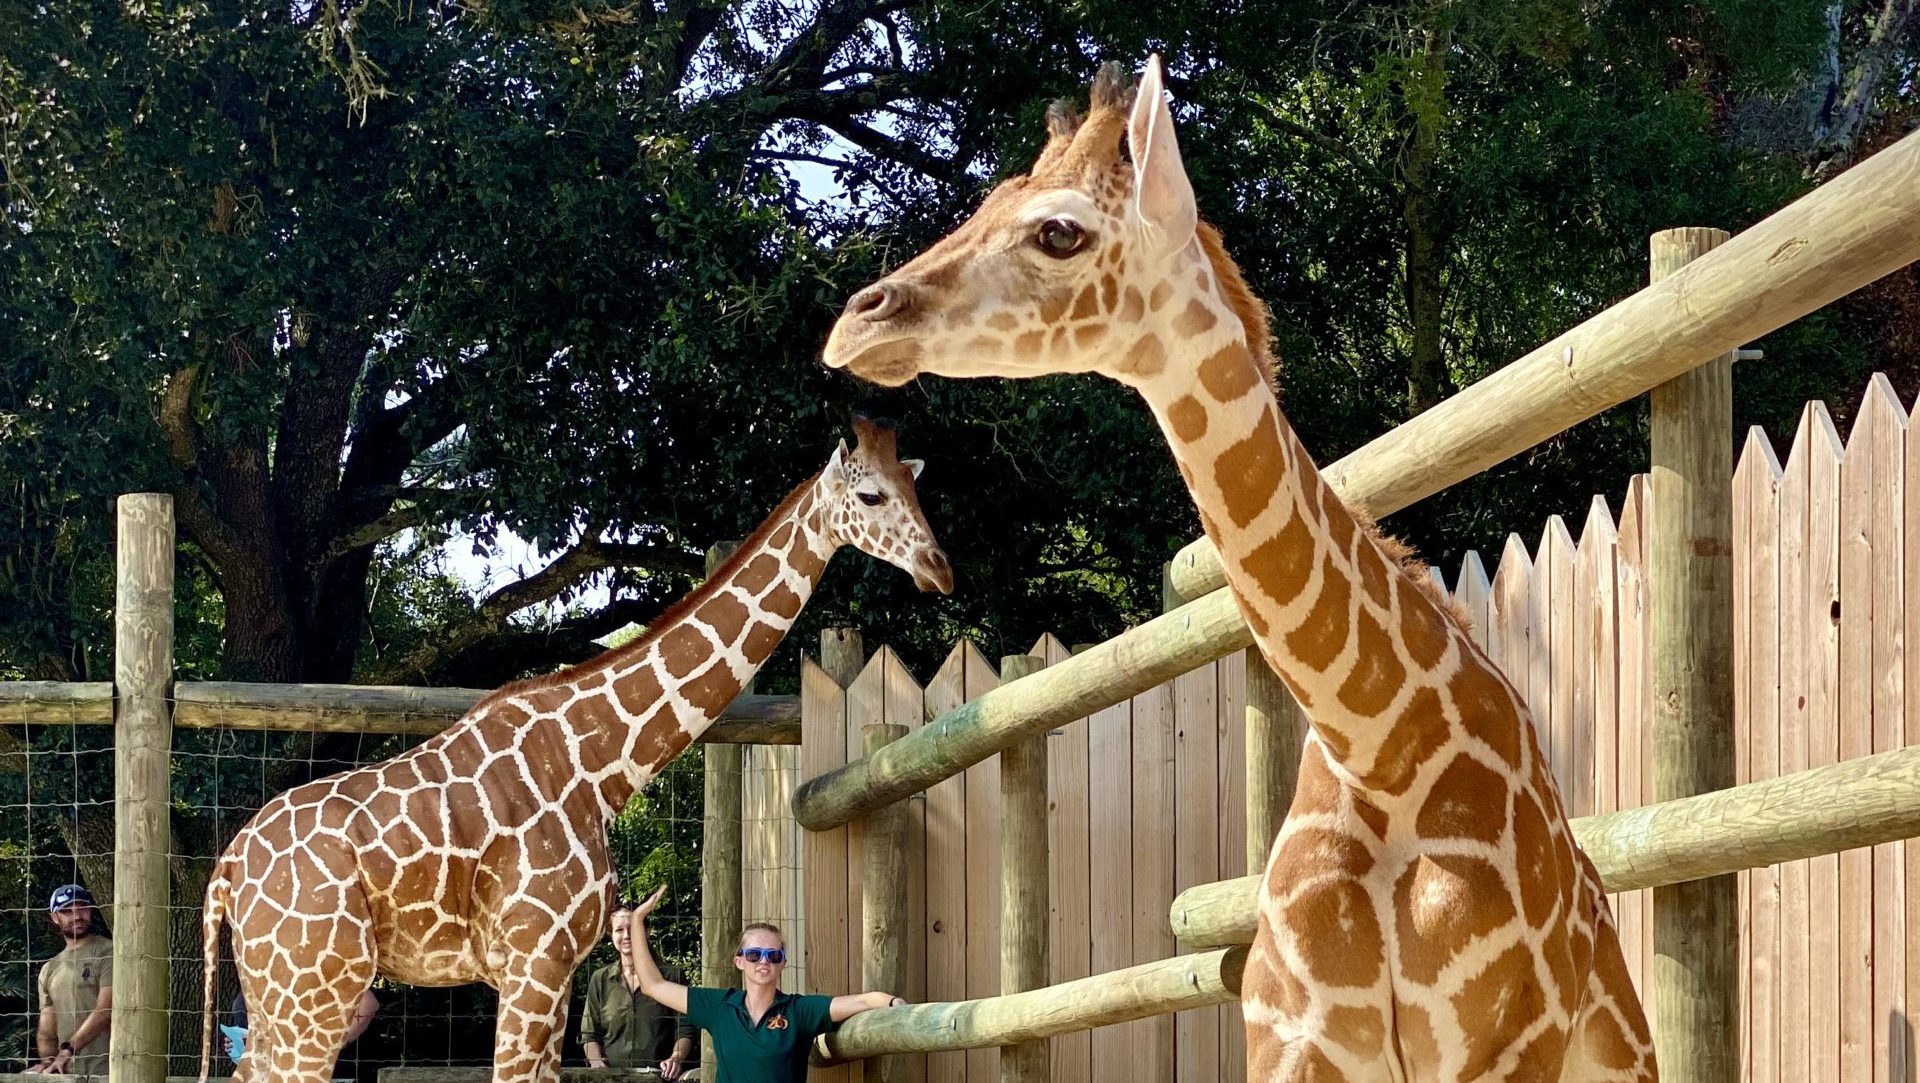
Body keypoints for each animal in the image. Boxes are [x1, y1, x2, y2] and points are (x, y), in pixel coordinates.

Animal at [200, 414, 952, 1083]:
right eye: (870, 496)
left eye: (914, 490)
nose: (939, 568)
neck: (598, 764)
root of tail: (227, 870)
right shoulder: (532, 957)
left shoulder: (554, 968)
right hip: (316, 991)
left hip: (275, 997)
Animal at [821, 61, 1651, 1083]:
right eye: (989, 200)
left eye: (1059, 231)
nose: (855, 323)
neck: (1380, 748)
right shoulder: (1296, 1043)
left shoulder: (1502, 1045)